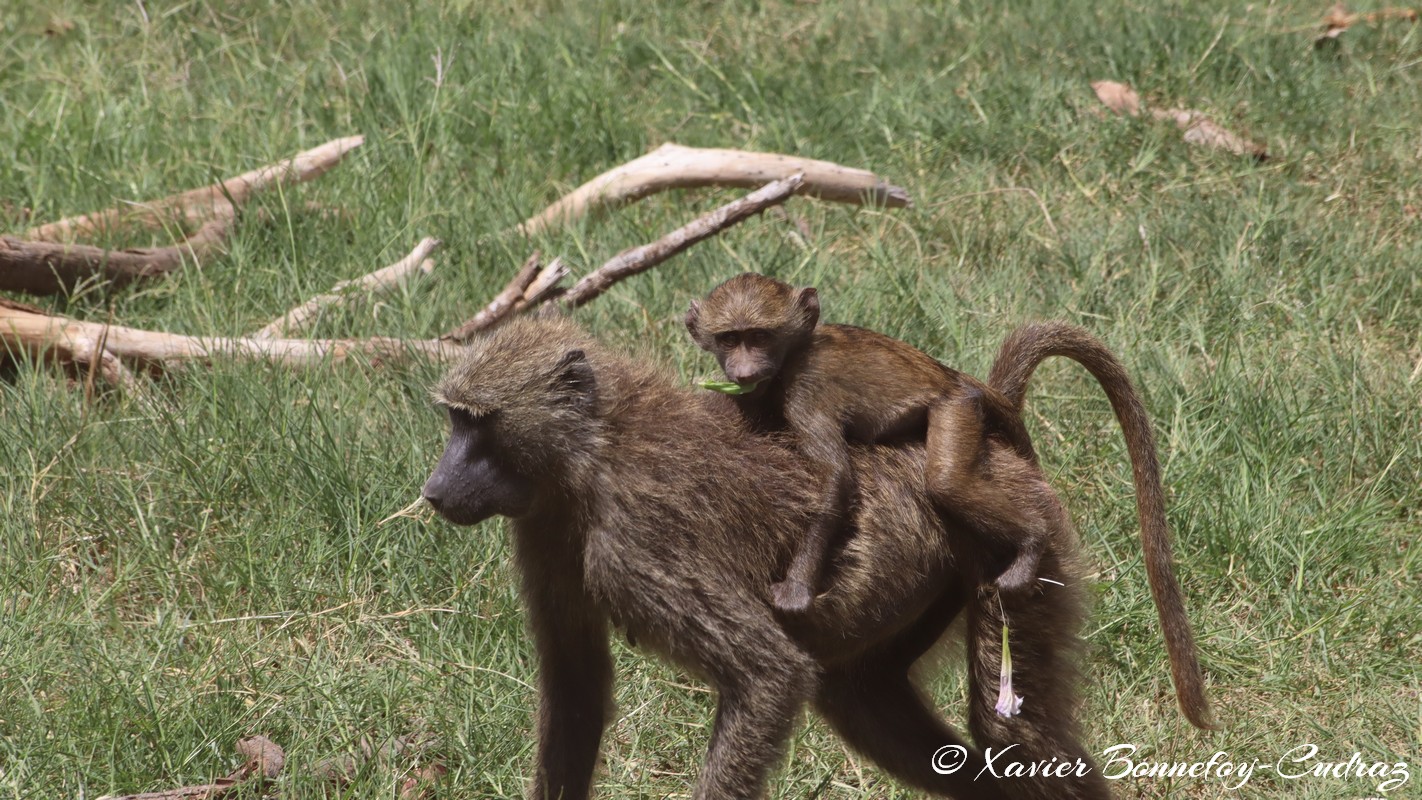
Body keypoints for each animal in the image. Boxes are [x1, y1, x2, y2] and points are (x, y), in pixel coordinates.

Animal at [420, 315, 1212, 799]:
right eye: (456, 420)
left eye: (477, 423)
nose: (433, 490)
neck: (591, 452)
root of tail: (990, 431)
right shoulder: (546, 529)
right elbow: (577, 691)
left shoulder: (635, 540)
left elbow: (766, 675)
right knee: (868, 702)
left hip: (1014, 558)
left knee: (1016, 734)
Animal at [685, 272, 1043, 613]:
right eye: (730, 339)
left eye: (760, 336)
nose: (745, 373)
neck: (793, 353)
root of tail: (950, 376)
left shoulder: (806, 389)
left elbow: (836, 477)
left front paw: (797, 588)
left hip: (956, 406)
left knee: (948, 482)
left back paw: (1033, 543)